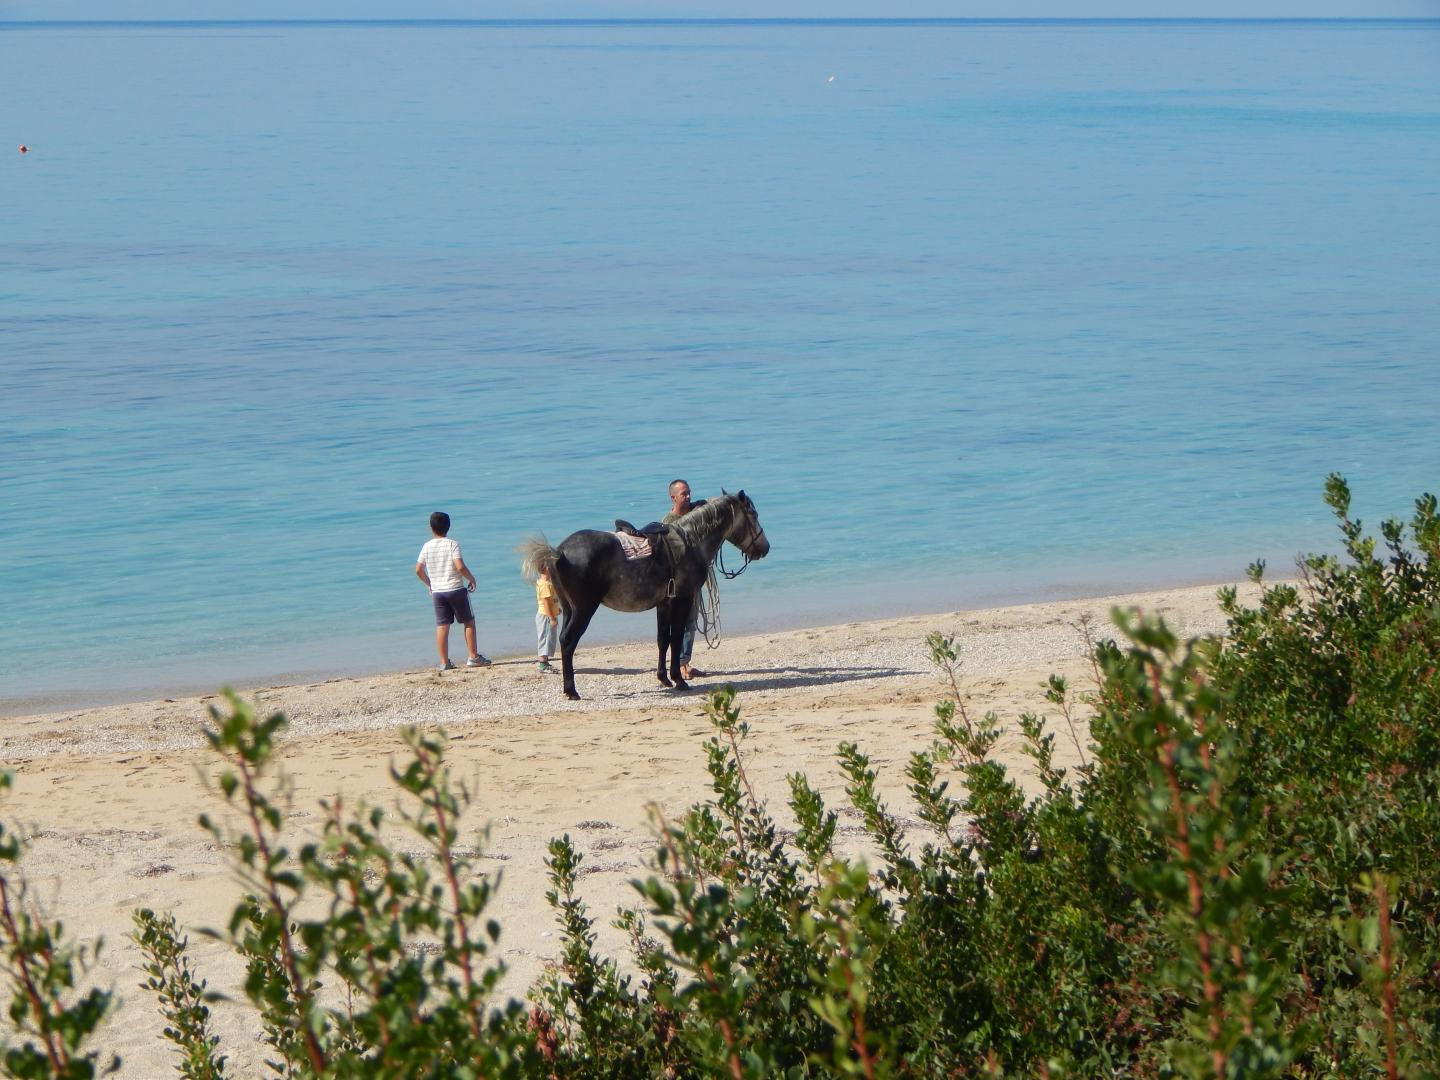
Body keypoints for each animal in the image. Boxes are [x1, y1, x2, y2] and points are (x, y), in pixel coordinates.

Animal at [518, 490, 770, 700]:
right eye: (753, 514)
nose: (765, 548)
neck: (691, 542)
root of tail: (559, 552)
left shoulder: (664, 604)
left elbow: (663, 639)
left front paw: (664, 678)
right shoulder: (682, 600)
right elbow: (676, 639)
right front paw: (679, 680)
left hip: (569, 609)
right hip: (584, 610)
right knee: (568, 642)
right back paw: (571, 691)